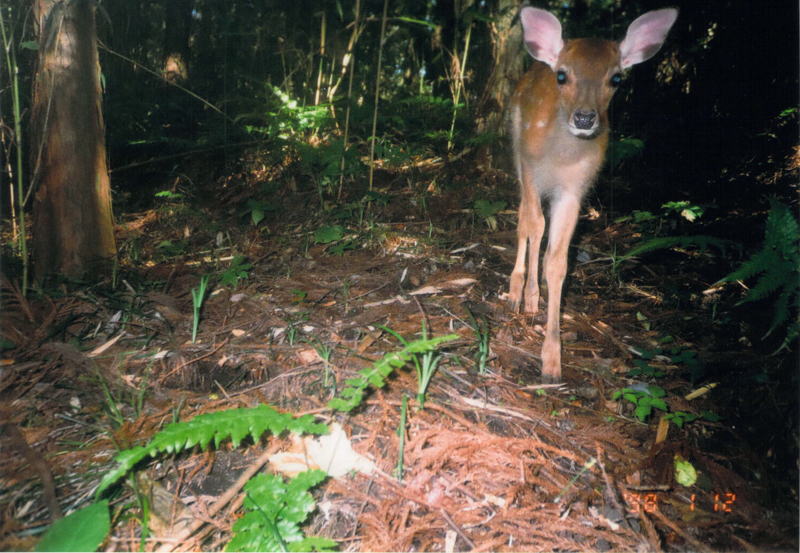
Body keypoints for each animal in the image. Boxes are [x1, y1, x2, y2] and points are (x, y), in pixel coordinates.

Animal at [510, 6, 680, 382]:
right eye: (562, 76)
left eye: (616, 78)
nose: (585, 119)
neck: (559, 159)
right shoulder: (529, 167)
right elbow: (531, 225)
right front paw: (523, 295)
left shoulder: (575, 190)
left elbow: (558, 262)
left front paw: (552, 360)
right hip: (516, 156)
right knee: (524, 219)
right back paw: (518, 291)